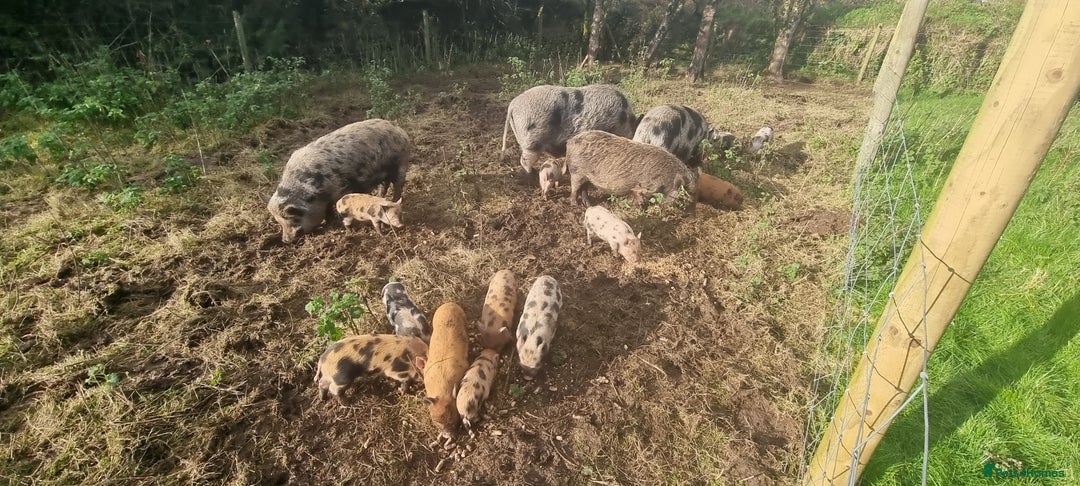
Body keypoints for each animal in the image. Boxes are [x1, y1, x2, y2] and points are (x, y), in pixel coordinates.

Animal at [267, 119, 412, 243]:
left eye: (292, 218)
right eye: (278, 220)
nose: (285, 240)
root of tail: (397, 128)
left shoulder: (341, 188)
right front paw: (326, 222)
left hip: (401, 162)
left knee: (398, 185)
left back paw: (394, 198)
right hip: (382, 172)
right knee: (384, 185)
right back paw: (380, 196)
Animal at [566, 130, 698, 211]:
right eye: (686, 193)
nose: (692, 210)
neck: (668, 178)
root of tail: (571, 141)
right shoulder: (646, 187)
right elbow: (639, 197)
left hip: (587, 177)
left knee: (584, 189)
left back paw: (589, 205)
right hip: (576, 171)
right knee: (575, 189)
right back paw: (575, 205)